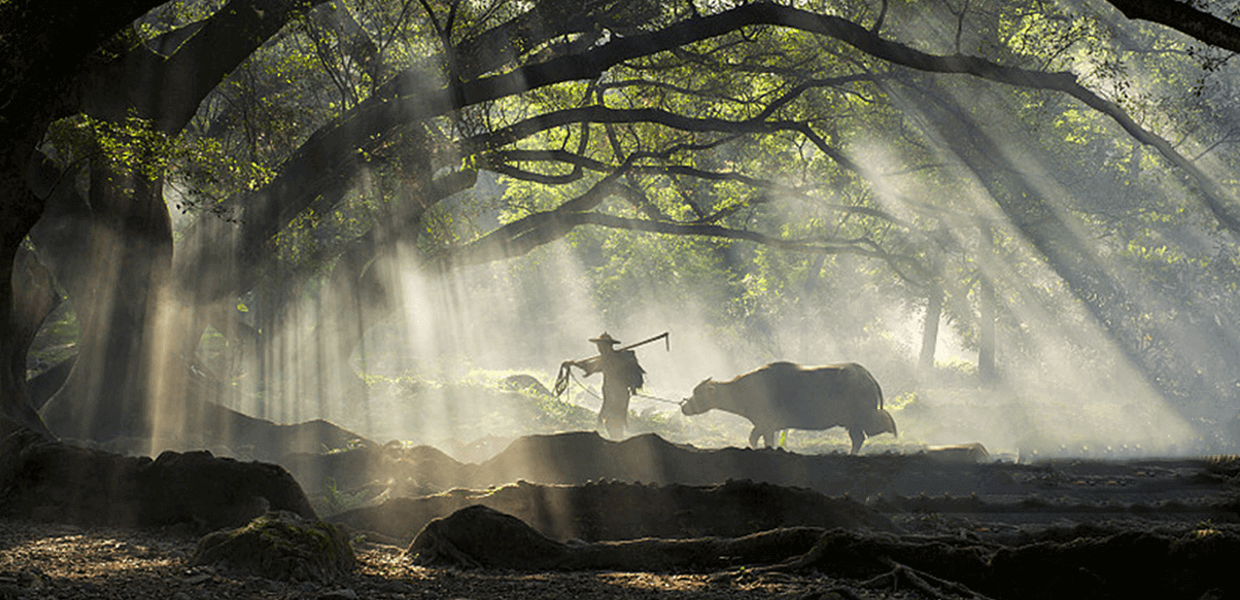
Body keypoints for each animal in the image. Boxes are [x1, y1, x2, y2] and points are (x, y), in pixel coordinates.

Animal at [684, 361, 897, 453]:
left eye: (697, 393)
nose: (684, 407)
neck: (743, 390)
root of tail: (866, 374)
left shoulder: (766, 423)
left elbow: (759, 439)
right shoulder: (766, 425)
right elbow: (757, 438)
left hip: (862, 416)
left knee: (881, 422)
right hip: (853, 422)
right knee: (858, 438)